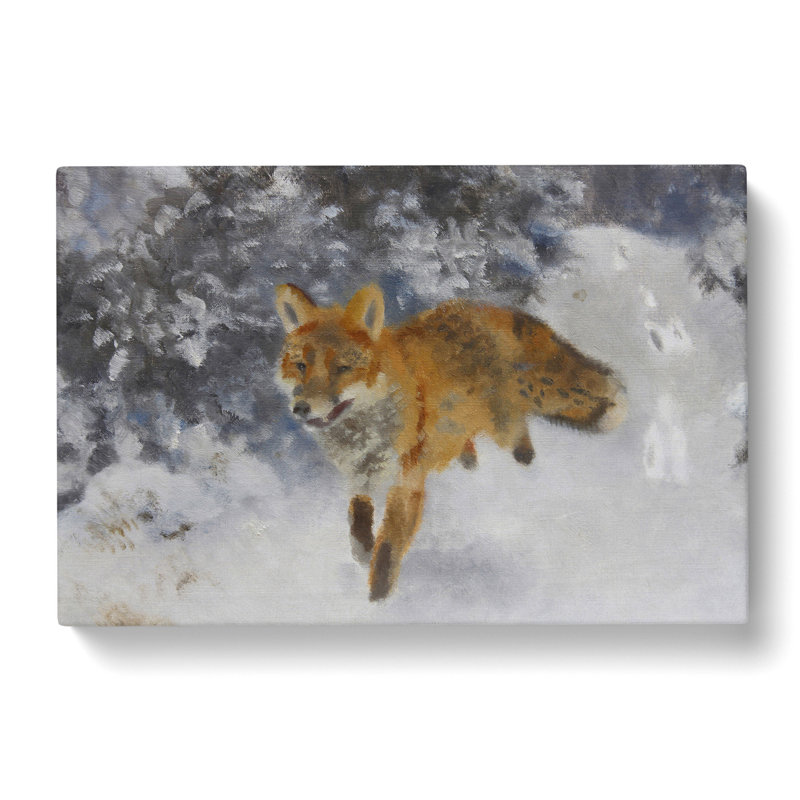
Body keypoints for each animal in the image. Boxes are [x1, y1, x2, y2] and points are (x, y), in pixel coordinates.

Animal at [275, 283, 626, 601]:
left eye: (342, 369)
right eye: (301, 366)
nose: (301, 408)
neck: (364, 433)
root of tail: (488, 308)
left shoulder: (408, 481)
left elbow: (389, 545)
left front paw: (379, 597)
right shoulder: (360, 474)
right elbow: (357, 517)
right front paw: (362, 551)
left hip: (500, 423)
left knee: (521, 437)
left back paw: (520, 465)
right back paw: (470, 460)